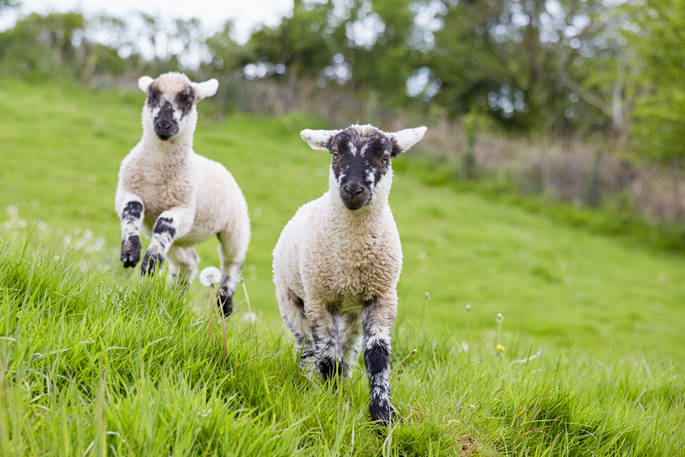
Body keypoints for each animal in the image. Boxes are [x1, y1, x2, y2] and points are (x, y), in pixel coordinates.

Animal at [115, 72, 250, 316]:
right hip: (181, 240)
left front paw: (150, 262)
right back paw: (174, 295)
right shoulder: (126, 191)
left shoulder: (184, 209)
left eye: (188, 101)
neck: (156, 177)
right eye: (152, 97)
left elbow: (163, 224)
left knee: (233, 261)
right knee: (188, 262)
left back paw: (225, 303)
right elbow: (132, 210)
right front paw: (130, 252)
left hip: (236, 226)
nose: (163, 124)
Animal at [272, 123, 427, 424]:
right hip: (291, 299)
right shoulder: (319, 300)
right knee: (308, 347)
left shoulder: (382, 296)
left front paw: (382, 414)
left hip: (354, 313)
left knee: (349, 348)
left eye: (385, 158)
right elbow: (327, 355)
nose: (353, 189)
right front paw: (331, 400)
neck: (351, 260)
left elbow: (377, 356)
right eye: (335, 153)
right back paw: (308, 379)